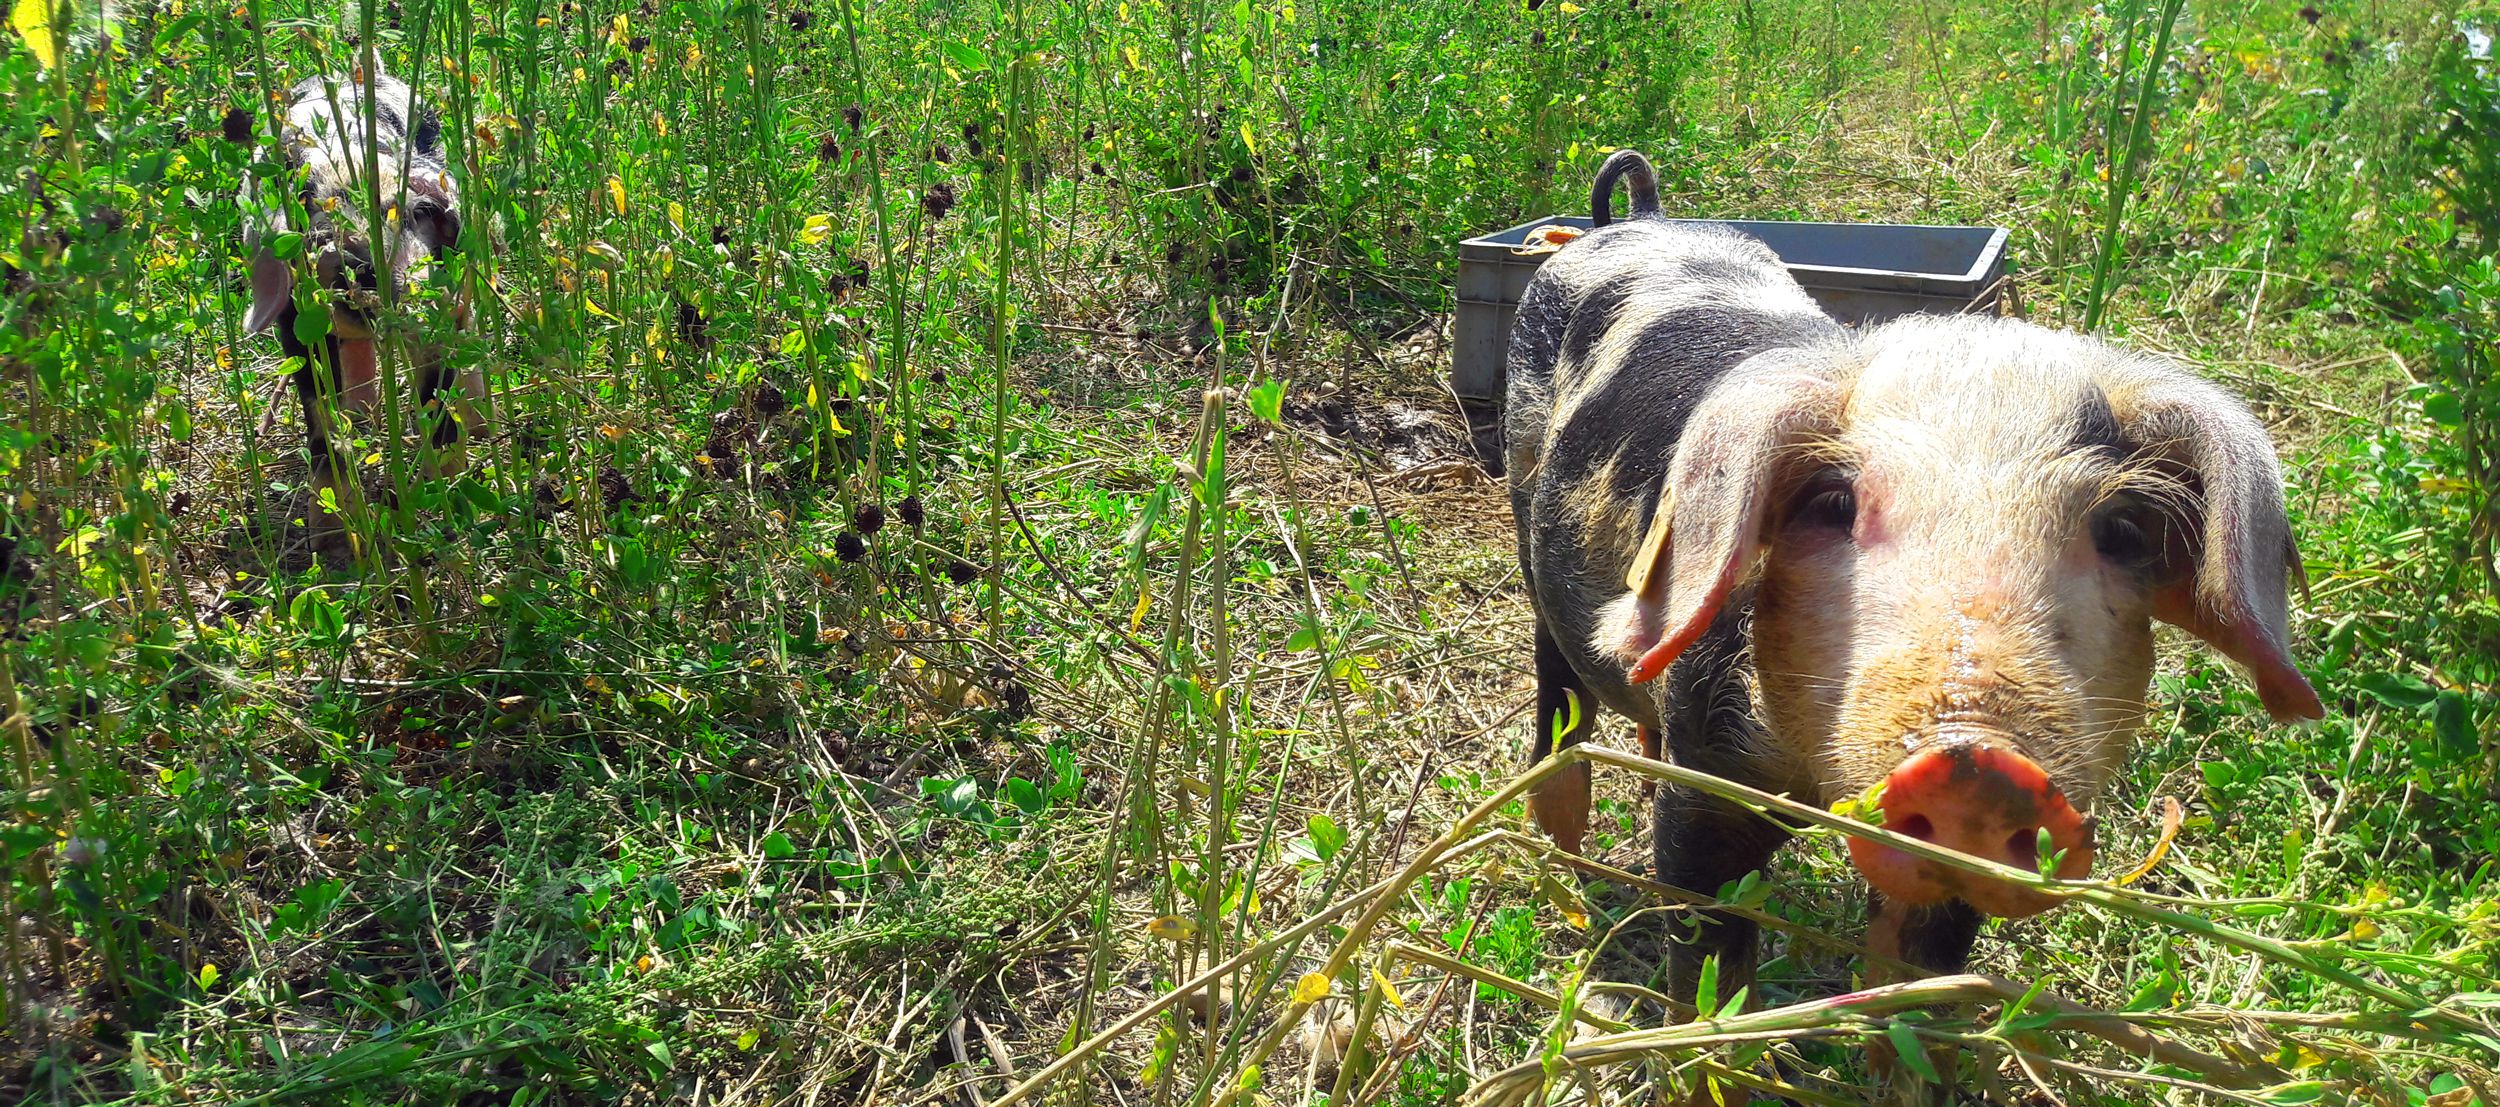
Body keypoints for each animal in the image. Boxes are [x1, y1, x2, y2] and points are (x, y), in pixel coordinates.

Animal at [1500, 151, 2320, 1009]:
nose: (1979, 760)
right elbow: (1708, 961)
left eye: (2121, 532)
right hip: (1524, 485)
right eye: (1833, 504)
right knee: (1557, 671)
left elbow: (1916, 971)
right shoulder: (1706, 783)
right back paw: (1562, 843)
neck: (1814, 782)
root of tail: (1635, 220)